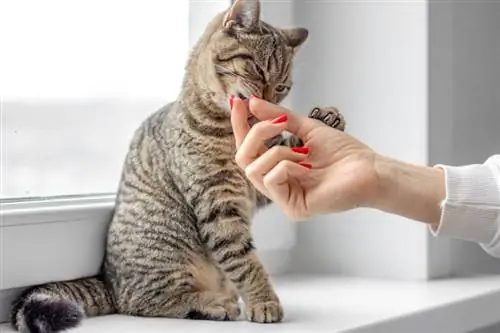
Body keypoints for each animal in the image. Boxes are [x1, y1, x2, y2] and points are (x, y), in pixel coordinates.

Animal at [12, 0, 348, 330]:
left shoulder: (258, 182)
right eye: (257, 68)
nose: (267, 103)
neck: (231, 132)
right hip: (166, 249)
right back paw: (213, 305)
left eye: (282, 88)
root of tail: (108, 281)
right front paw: (263, 301)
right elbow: (243, 260)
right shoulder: (217, 202)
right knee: (144, 302)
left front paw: (327, 119)